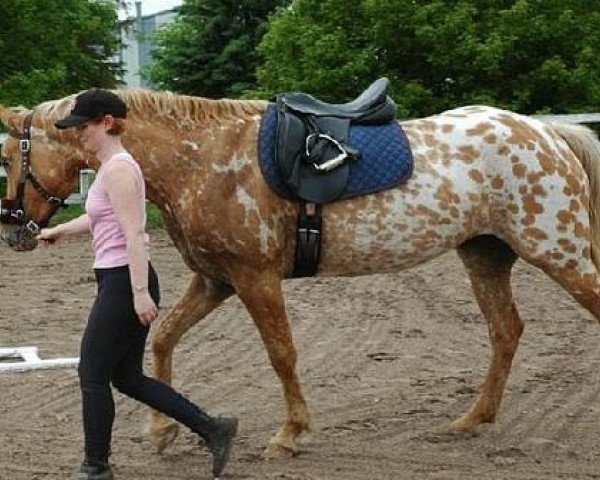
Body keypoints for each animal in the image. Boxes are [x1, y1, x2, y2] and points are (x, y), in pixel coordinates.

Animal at [1, 88, 600, 460]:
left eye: (7, 157)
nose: (14, 231)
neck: (202, 160)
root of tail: (547, 134)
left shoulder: (255, 278)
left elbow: (281, 353)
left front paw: (289, 434)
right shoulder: (215, 280)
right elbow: (164, 339)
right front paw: (162, 428)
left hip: (561, 251)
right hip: (485, 256)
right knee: (506, 331)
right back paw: (472, 419)